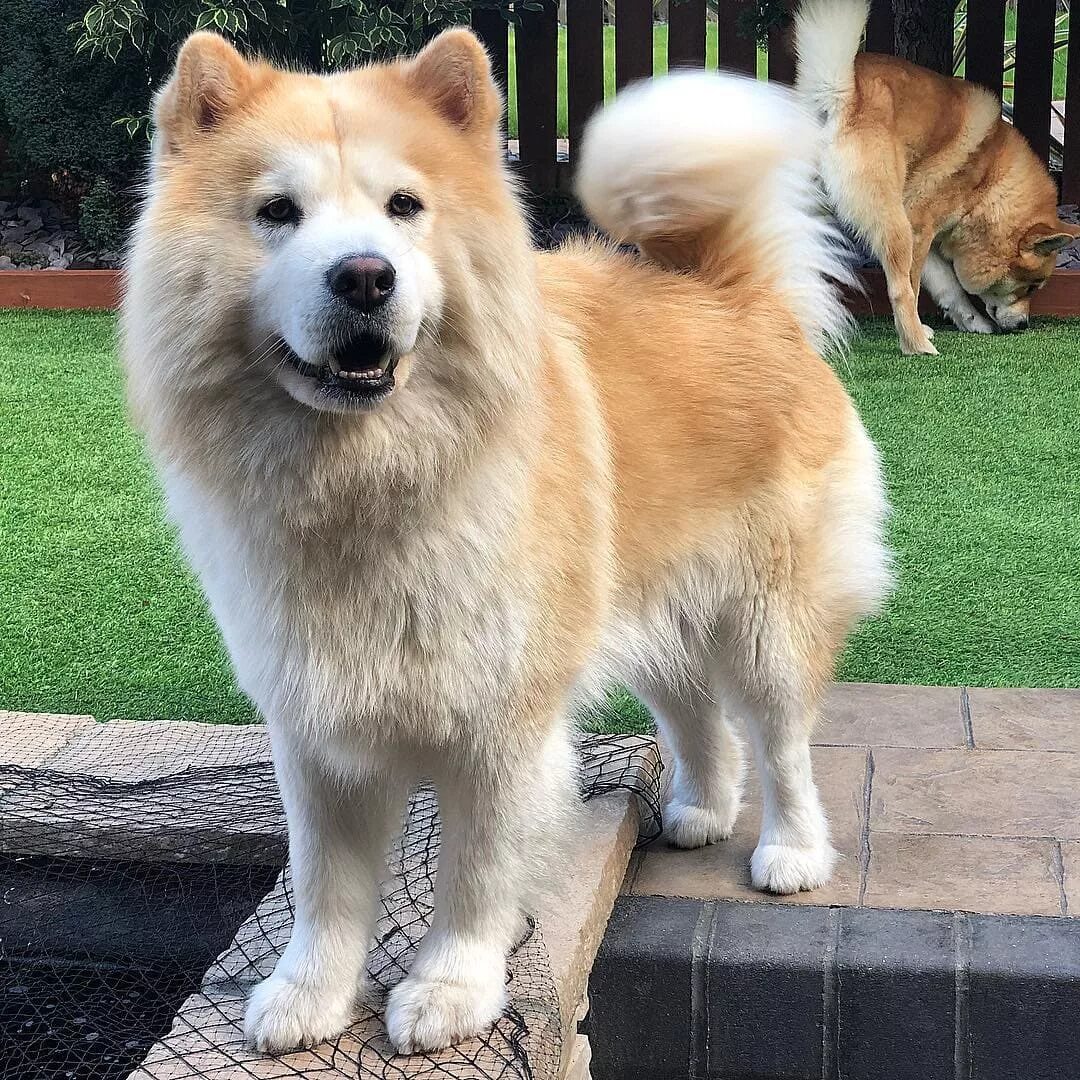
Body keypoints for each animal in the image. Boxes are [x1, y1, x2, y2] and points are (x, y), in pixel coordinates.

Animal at [122, 31, 889, 1054]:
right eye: (277, 213)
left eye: (405, 207)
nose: (364, 274)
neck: (370, 480)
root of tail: (734, 290)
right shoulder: (313, 727)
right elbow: (325, 886)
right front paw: (306, 995)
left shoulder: (502, 726)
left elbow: (476, 875)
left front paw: (451, 990)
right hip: (648, 608)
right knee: (697, 715)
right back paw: (698, 810)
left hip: (766, 623)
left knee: (783, 741)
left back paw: (792, 851)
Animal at [794, 0, 1080, 354]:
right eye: (1032, 286)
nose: (1023, 326)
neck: (989, 179)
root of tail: (839, 94)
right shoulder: (920, 230)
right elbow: (915, 287)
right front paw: (923, 328)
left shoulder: (929, 241)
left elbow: (949, 288)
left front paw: (971, 321)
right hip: (894, 226)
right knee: (899, 290)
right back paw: (916, 345)